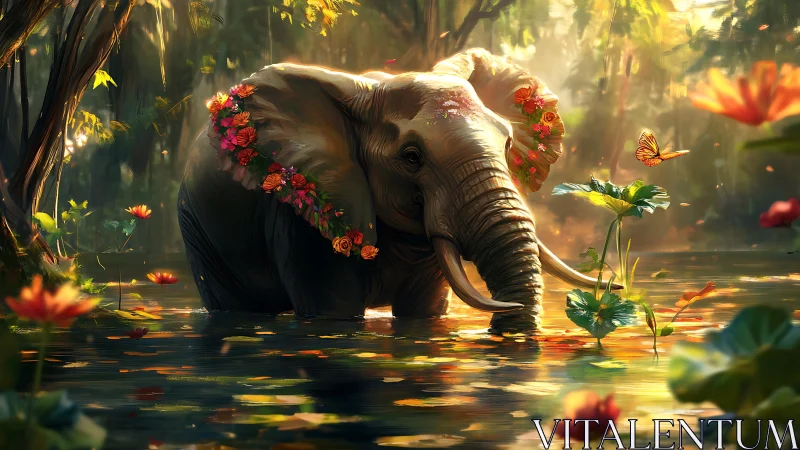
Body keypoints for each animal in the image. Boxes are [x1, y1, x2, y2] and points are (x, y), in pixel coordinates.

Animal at [177, 48, 618, 333]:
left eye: (509, 143)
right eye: (411, 157)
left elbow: (423, 312)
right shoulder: (300, 218)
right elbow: (333, 311)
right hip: (196, 229)